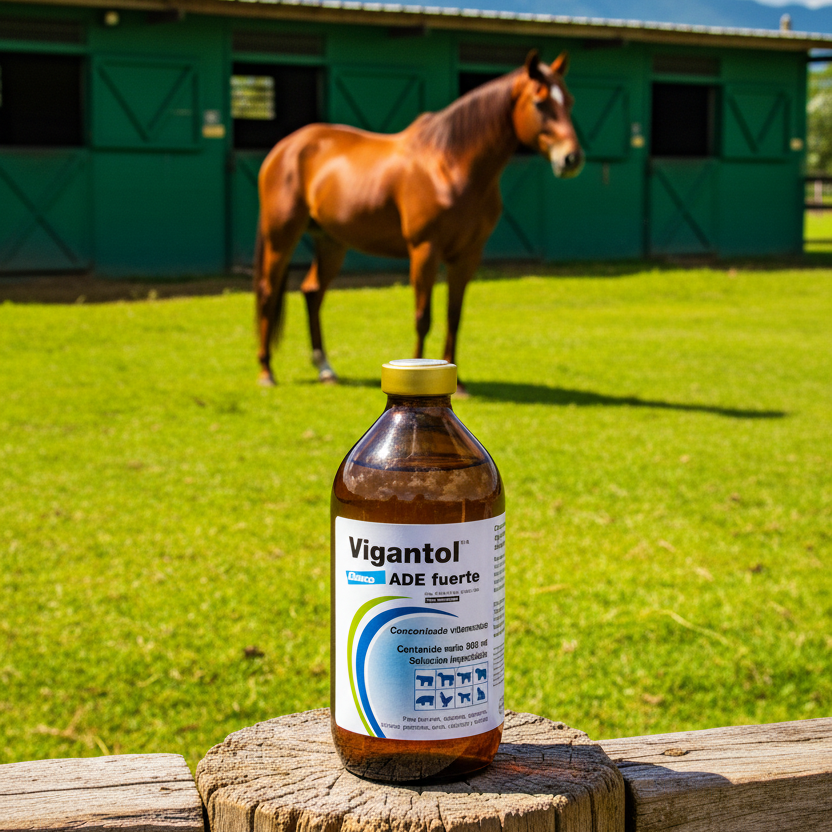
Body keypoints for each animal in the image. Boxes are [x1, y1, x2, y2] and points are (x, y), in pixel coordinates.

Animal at [254, 49, 583, 393]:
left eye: (569, 101)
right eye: (540, 102)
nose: (571, 158)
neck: (450, 165)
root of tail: (284, 148)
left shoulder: (467, 255)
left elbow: (454, 316)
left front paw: (459, 383)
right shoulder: (424, 250)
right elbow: (423, 317)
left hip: (331, 242)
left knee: (312, 292)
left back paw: (325, 369)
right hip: (281, 236)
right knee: (267, 291)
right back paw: (266, 371)